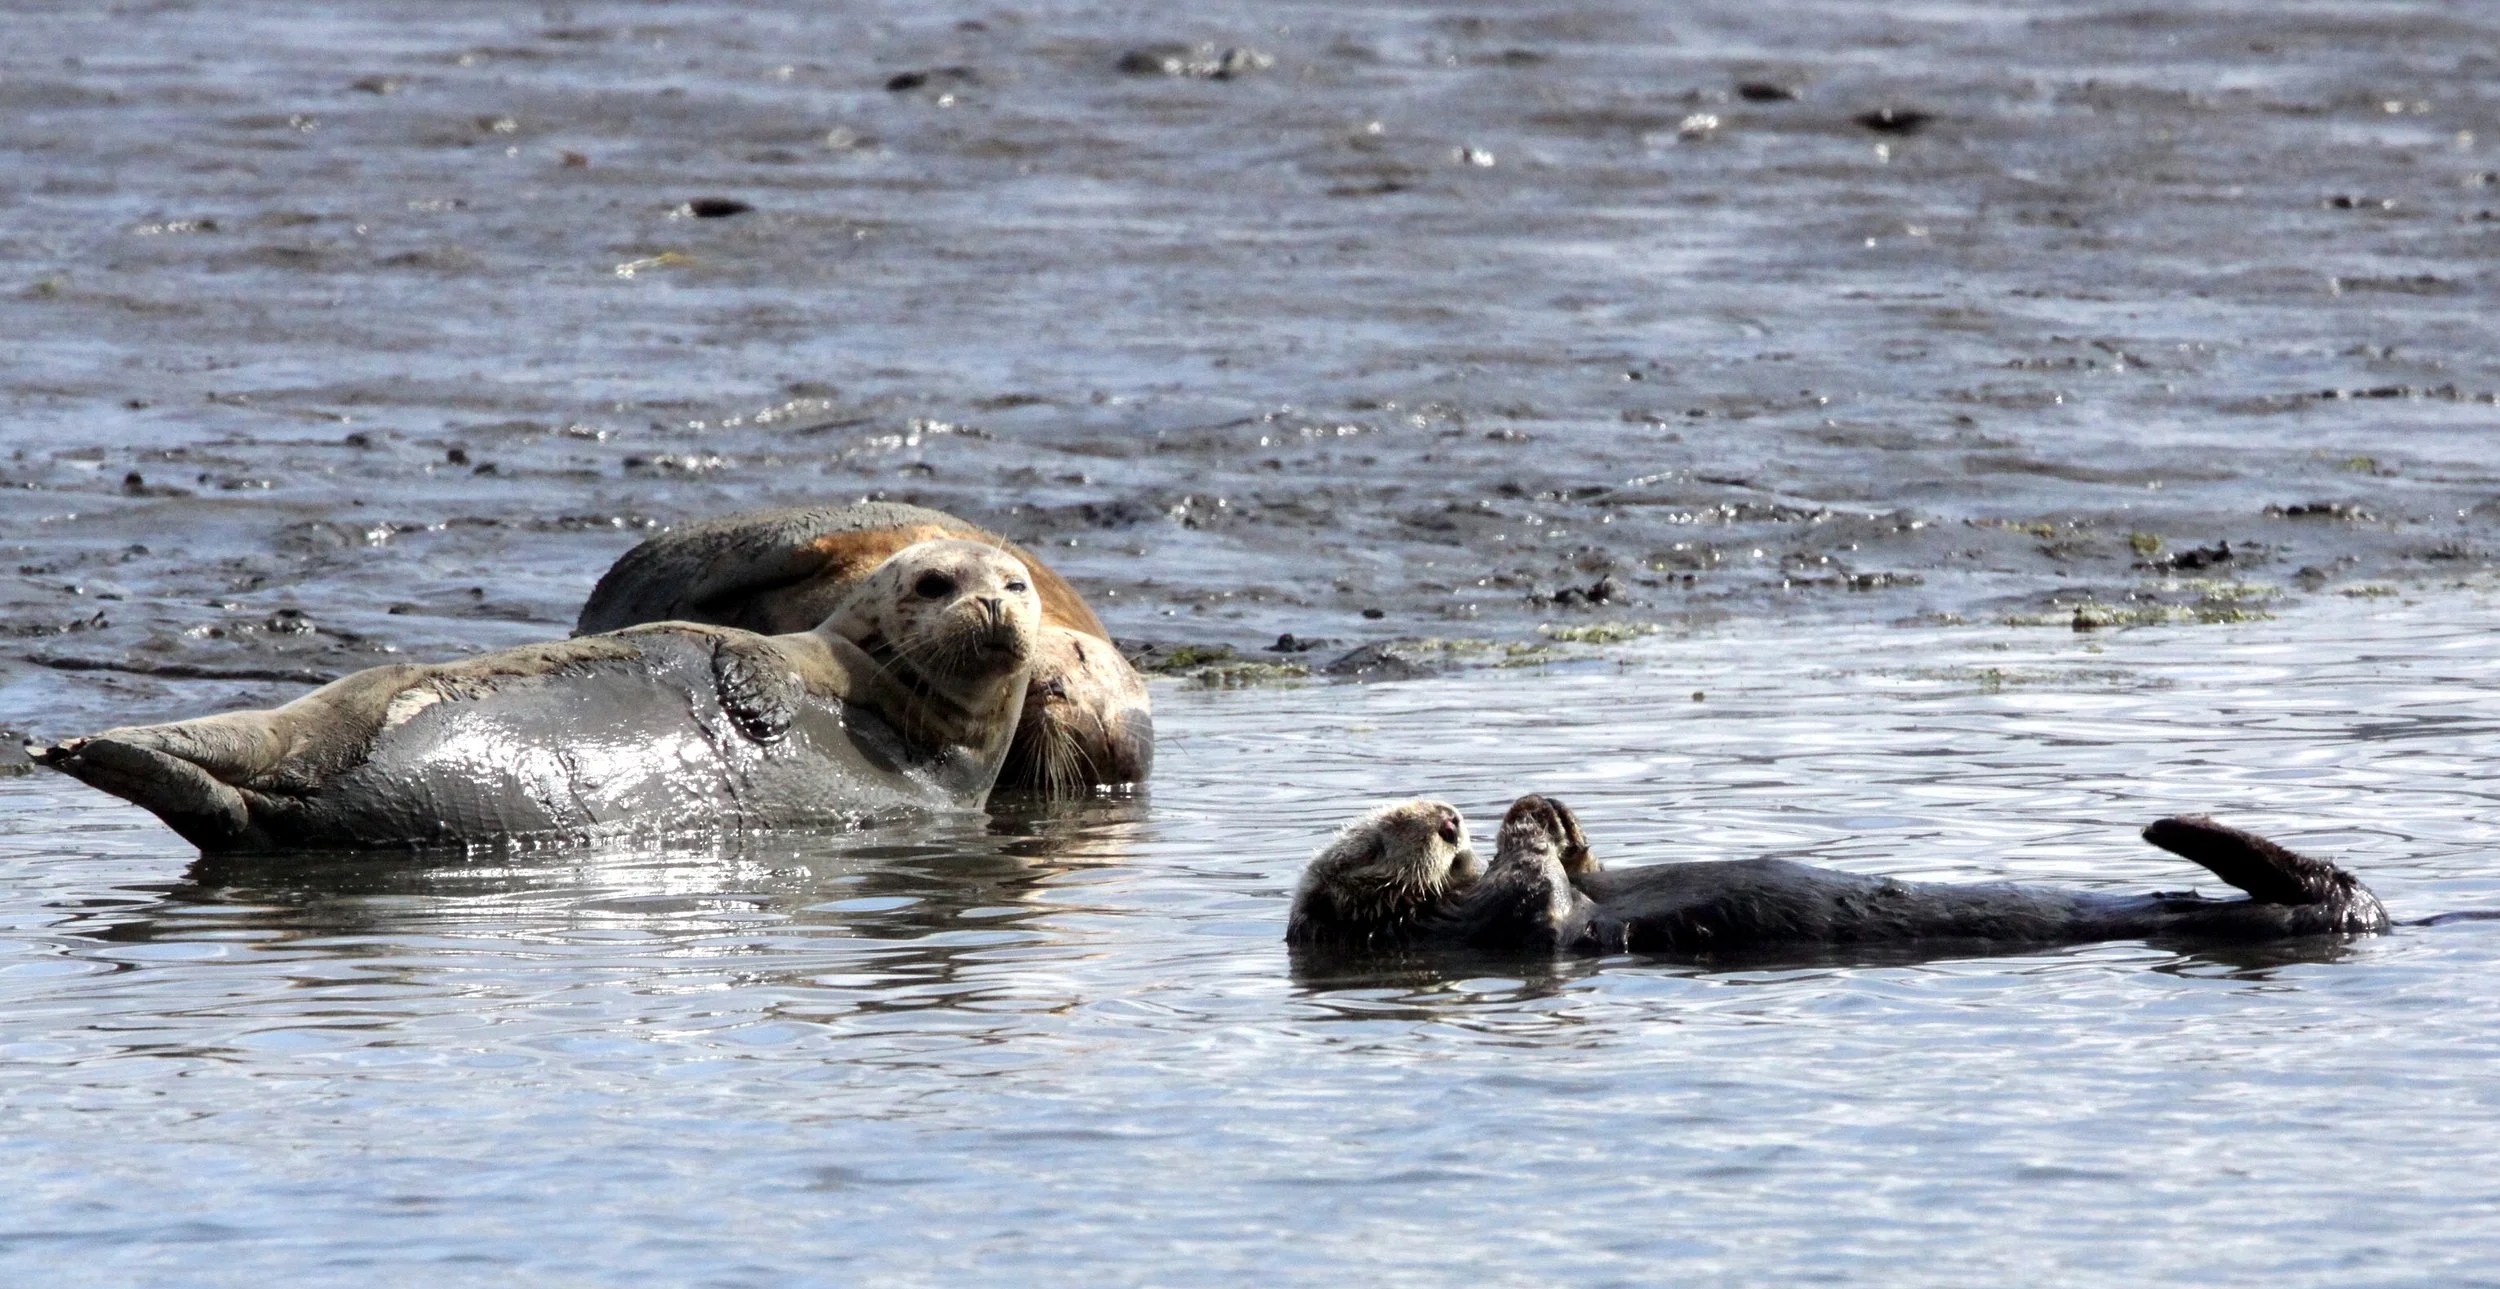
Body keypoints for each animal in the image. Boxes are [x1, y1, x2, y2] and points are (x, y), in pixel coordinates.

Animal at [29, 540, 1041, 853]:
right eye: (935, 582)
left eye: (1016, 582)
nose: (996, 600)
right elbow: (734, 649)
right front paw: (753, 700)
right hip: (335, 707)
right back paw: (73, 748)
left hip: (328, 730)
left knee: (232, 789)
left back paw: (92, 754)